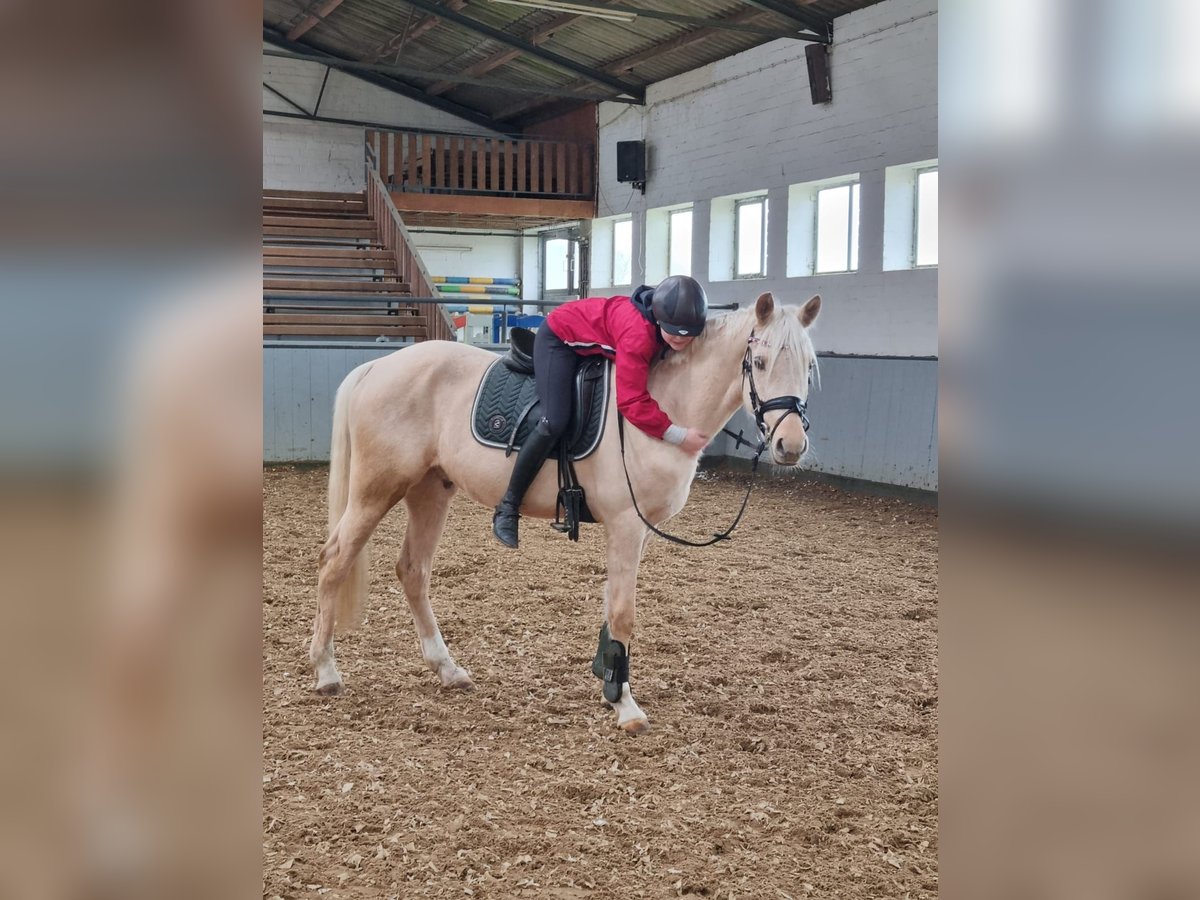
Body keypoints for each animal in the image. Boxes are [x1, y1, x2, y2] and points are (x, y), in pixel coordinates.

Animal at [304, 292, 820, 734]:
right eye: (758, 362)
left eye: (809, 367)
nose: (790, 446)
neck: (662, 402)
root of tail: (377, 366)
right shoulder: (625, 525)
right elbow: (623, 611)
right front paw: (625, 704)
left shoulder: (636, 531)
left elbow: (611, 605)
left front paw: (608, 679)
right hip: (376, 490)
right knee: (334, 562)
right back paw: (326, 671)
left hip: (430, 491)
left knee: (413, 570)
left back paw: (447, 668)